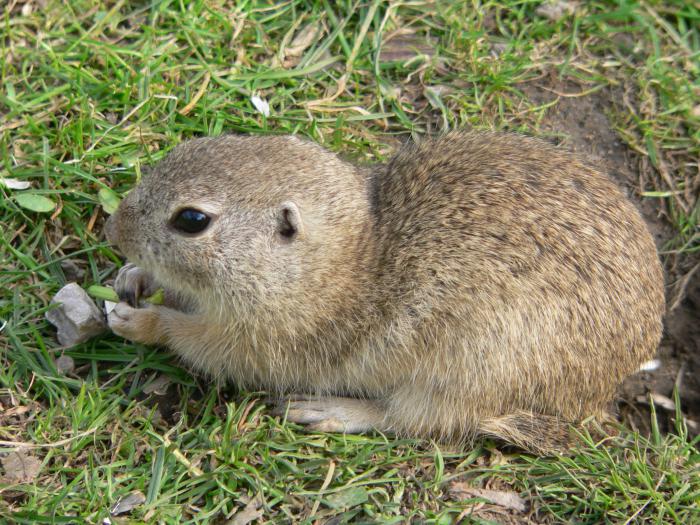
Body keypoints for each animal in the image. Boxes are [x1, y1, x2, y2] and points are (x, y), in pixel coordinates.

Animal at [106, 130, 664, 450]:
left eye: (192, 220)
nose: (113, 231)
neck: (336, 262)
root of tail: (600, 392)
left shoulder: (263, 343)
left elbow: (193, 339)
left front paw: (137, 320)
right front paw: (133, 278)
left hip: (469, 374)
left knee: (412, 421)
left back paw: (329, 412)